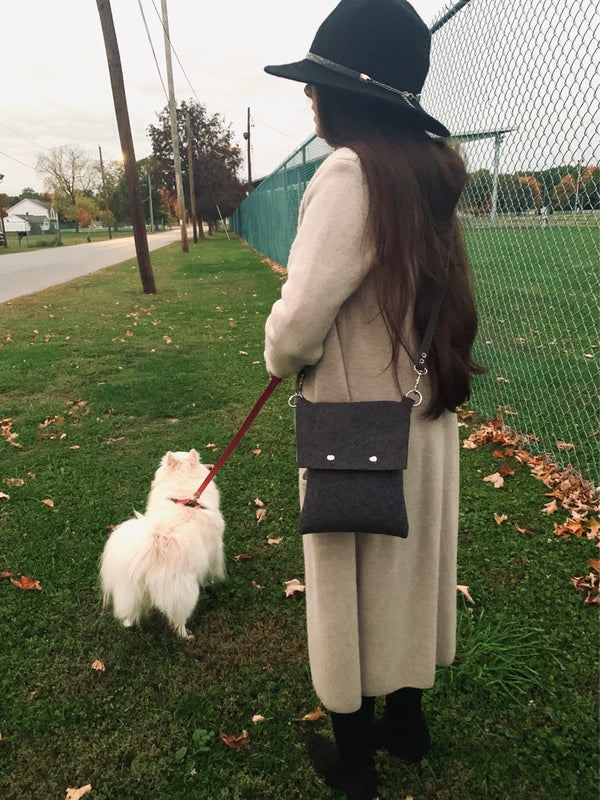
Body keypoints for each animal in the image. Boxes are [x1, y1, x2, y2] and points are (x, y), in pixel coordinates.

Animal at [100, 450, 225, 636]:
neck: (184, 494)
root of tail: (155, 547)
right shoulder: (214, 549)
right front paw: (212, 580)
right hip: (184, 594)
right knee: (178, 620)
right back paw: (186, 636)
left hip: (133, 590)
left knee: (132, 610)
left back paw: (129, 623)